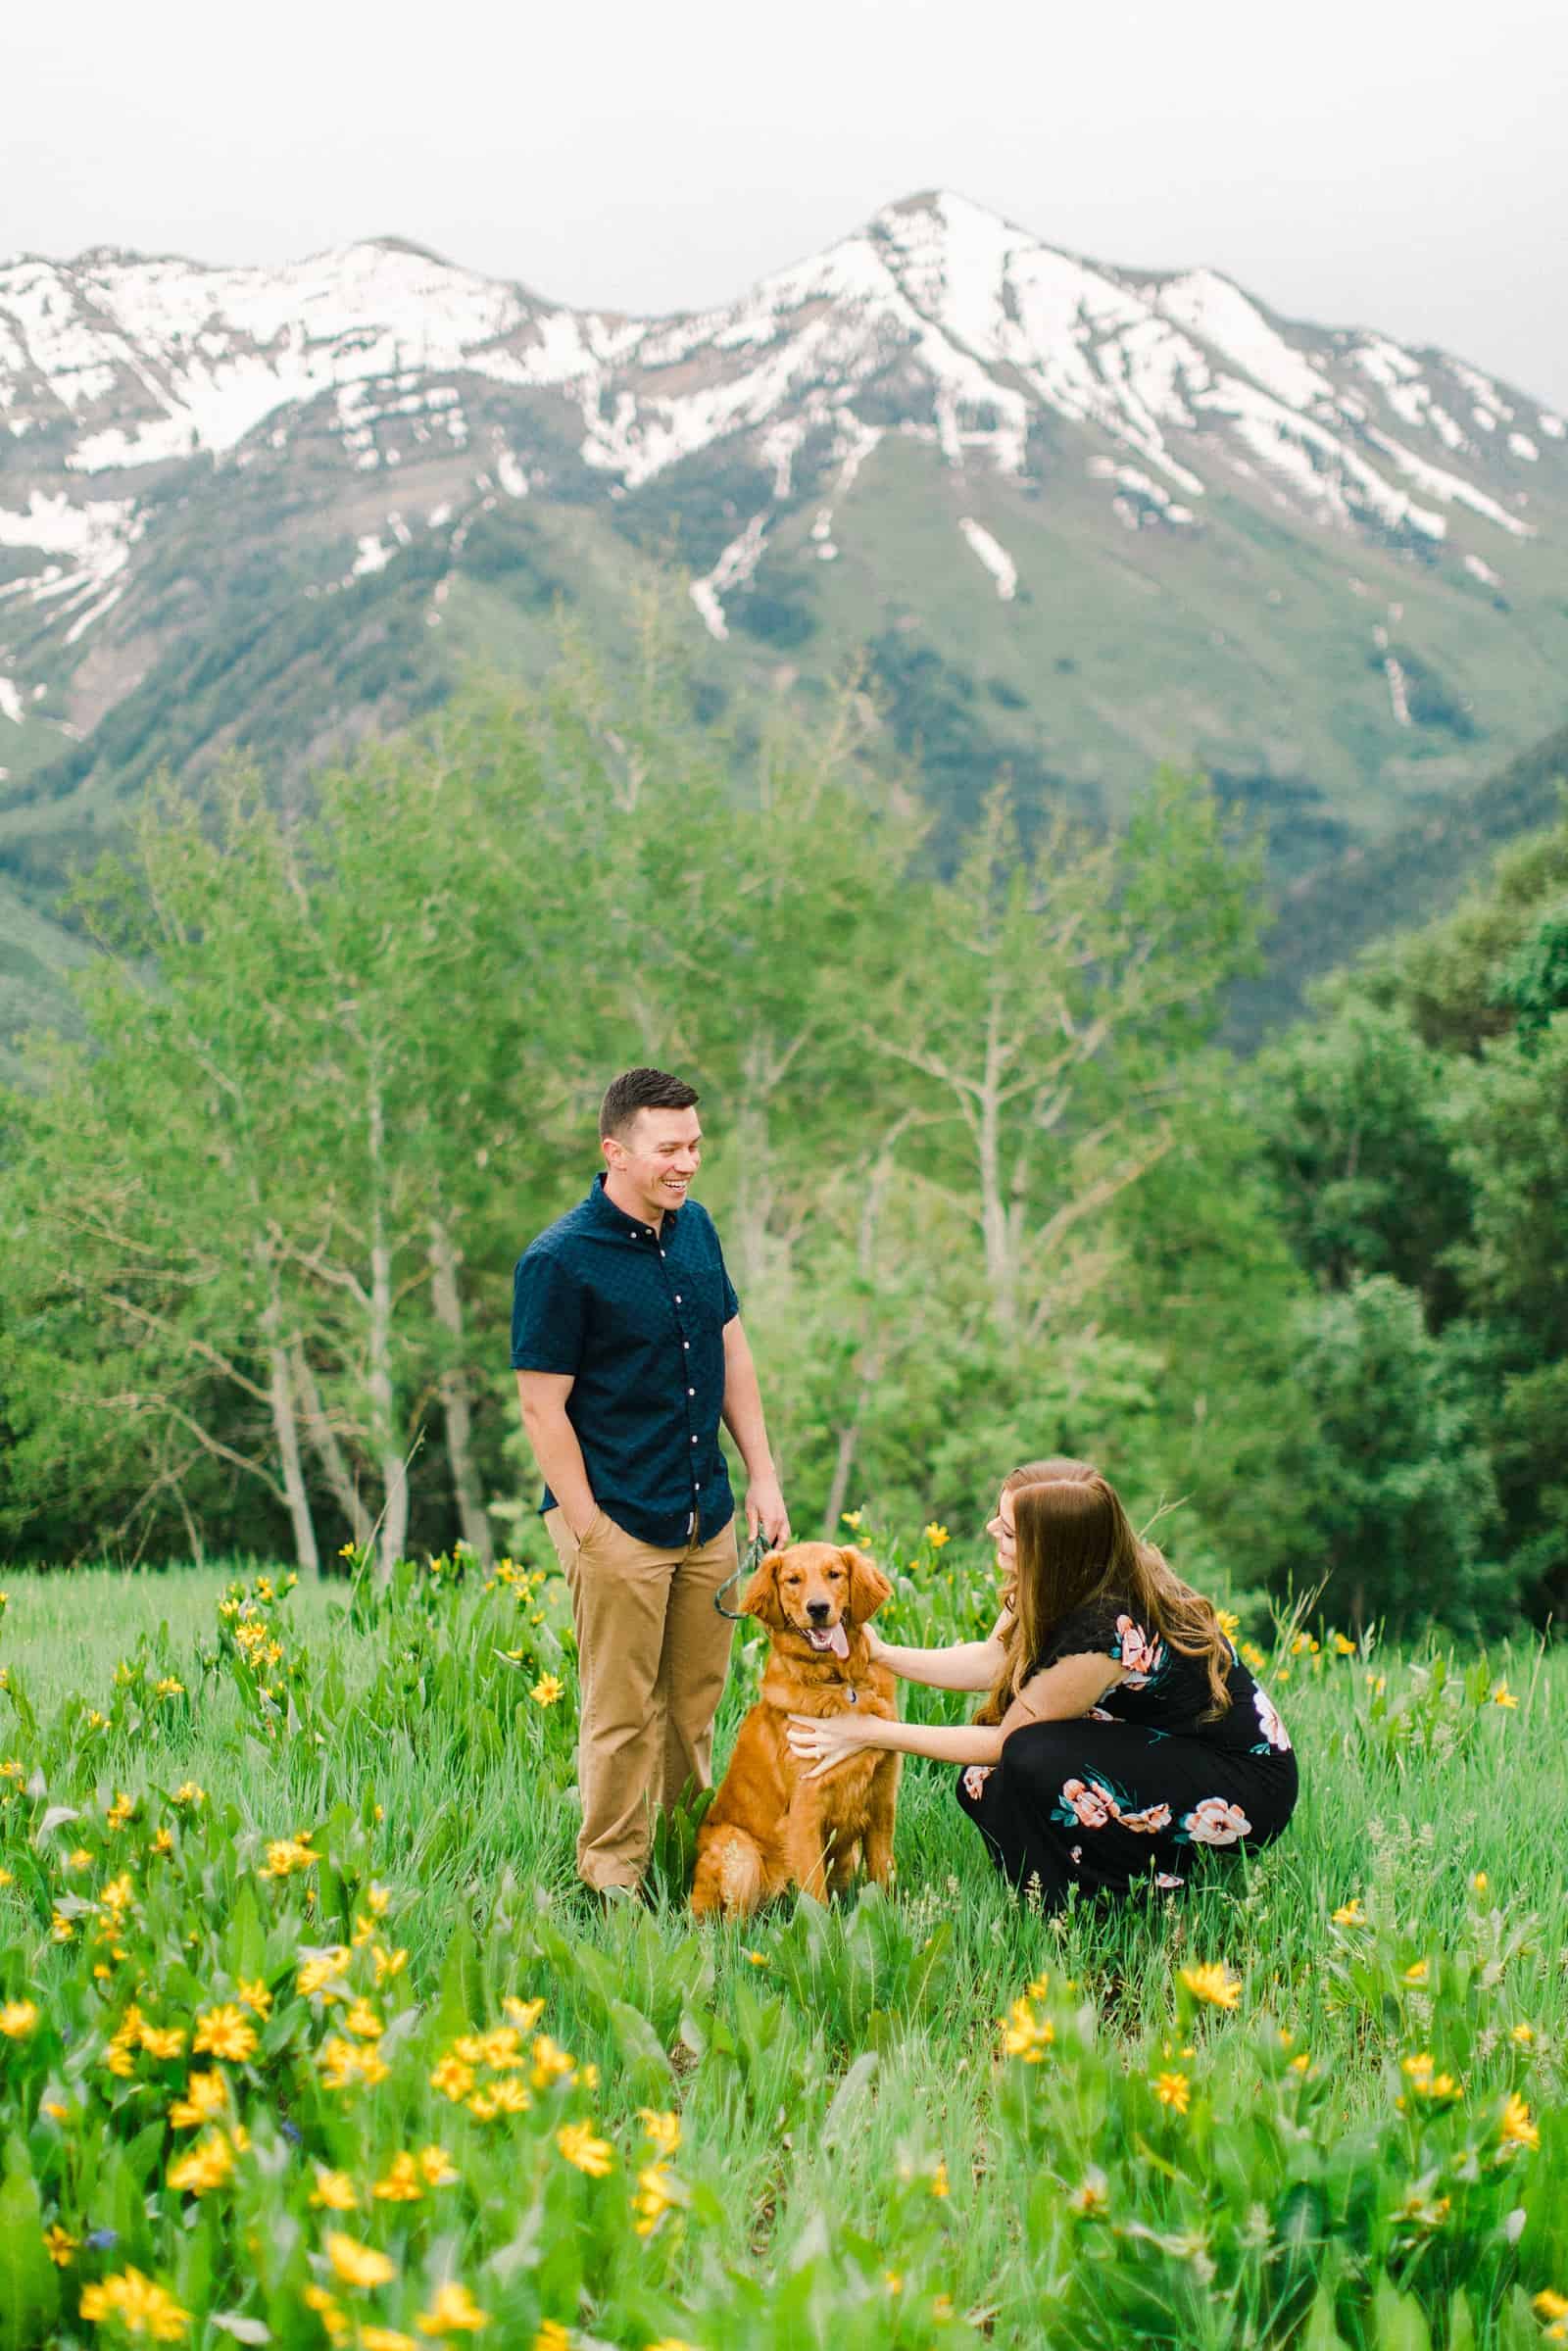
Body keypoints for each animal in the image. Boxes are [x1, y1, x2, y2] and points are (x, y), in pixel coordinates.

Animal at [691, 1542, 903, 1908]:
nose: (818, 1608)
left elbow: (883, 1874)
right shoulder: (805, 1812)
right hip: (742, 1855)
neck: (837, 1681)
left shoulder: (882, 1802)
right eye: (793, 1580)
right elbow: (815, 1896)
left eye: (834, 1574)